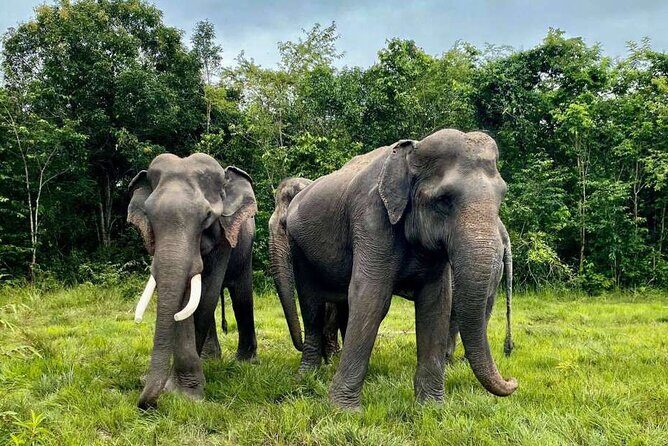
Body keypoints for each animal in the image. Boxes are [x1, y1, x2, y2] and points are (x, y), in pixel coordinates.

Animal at [127, 153, 258, 409]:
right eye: (149, 216)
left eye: (207, 217)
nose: (146, 404)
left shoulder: (223, 238)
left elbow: (205, 295)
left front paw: (185, 394)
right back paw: (210, 359)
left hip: (245, 246)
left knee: (241, 294)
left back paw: (244, 362)